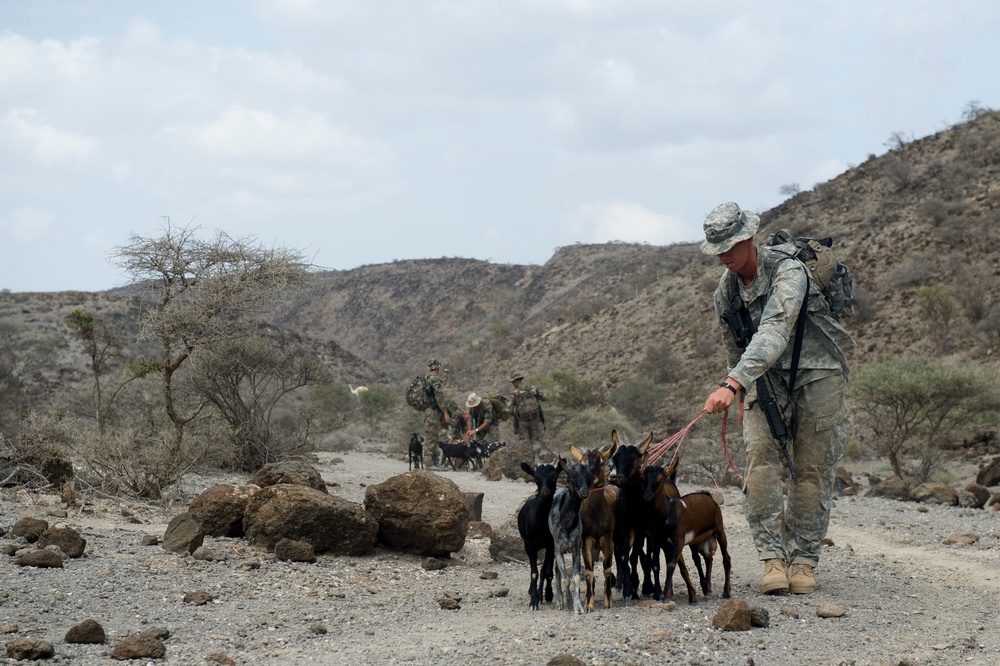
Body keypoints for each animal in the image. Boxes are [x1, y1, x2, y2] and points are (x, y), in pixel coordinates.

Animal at [520, 462, 560, 608]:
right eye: (536, 478)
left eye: (554, 477)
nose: (545, 492)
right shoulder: (530, 545)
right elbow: (534, 573)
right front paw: (533, 601)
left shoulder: (551, 544)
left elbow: (547, 573)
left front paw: (548, 595)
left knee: (544, 570)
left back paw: (542, 594)